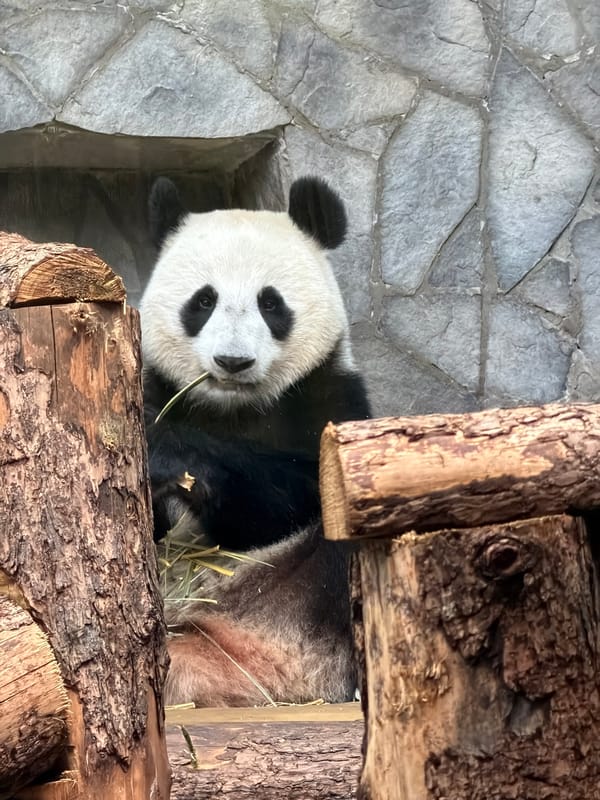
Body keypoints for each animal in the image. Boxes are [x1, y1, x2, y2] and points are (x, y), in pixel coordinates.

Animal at [140, 175, 371, 707]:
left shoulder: (328, 399)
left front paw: (173, 456)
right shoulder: (154, 389)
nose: (233, 361)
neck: (233, 409)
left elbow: (297, 497)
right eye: (203, 301)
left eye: (271, 303)